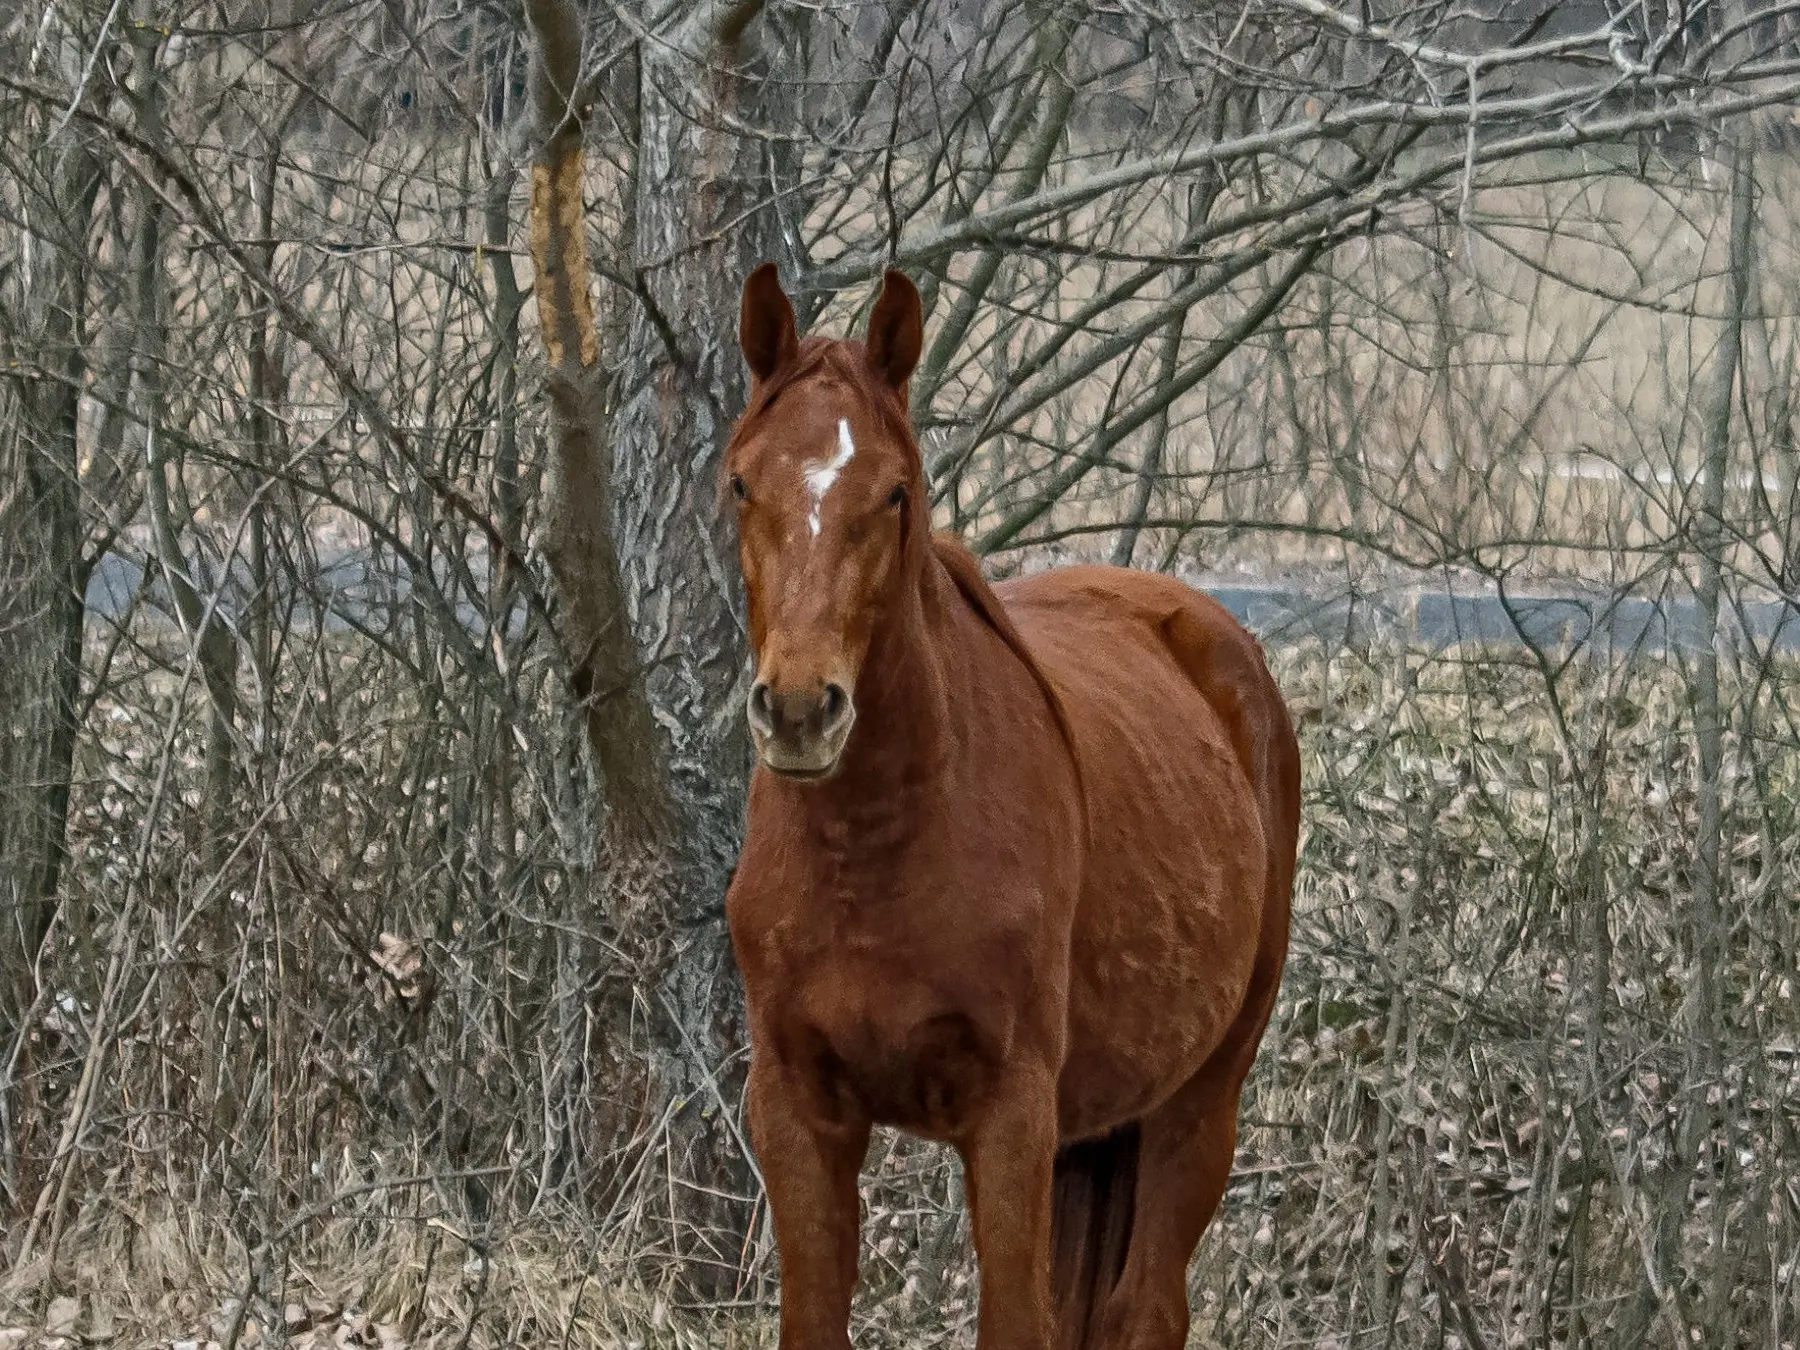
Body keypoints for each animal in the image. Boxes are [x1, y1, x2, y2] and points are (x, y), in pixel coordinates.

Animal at [723, 266, 1303, 1350]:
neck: (877, 853)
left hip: (1200, 1102)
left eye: (895, 493)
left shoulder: (1011, 1120)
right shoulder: (796, 1111)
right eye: (742, 483)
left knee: (1145, 1309)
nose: (801, 710)